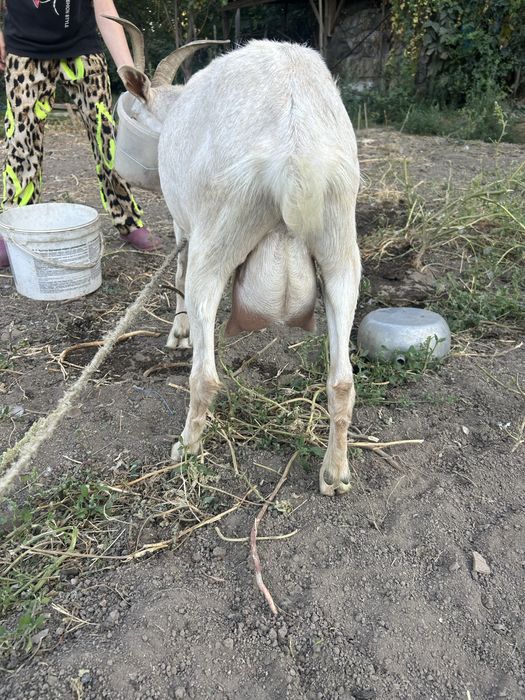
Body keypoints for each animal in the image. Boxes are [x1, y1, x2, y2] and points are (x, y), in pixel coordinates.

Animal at [110, 18, 361, 495]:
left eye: (126, 112)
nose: (120, 169)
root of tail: (294, 149)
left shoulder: (183, 221)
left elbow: (178, 271)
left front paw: (179, 333)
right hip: (340, 244)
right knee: (342, 381)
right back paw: (335, 474)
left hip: (219, 233)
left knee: (205, 375)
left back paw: (186, 448)